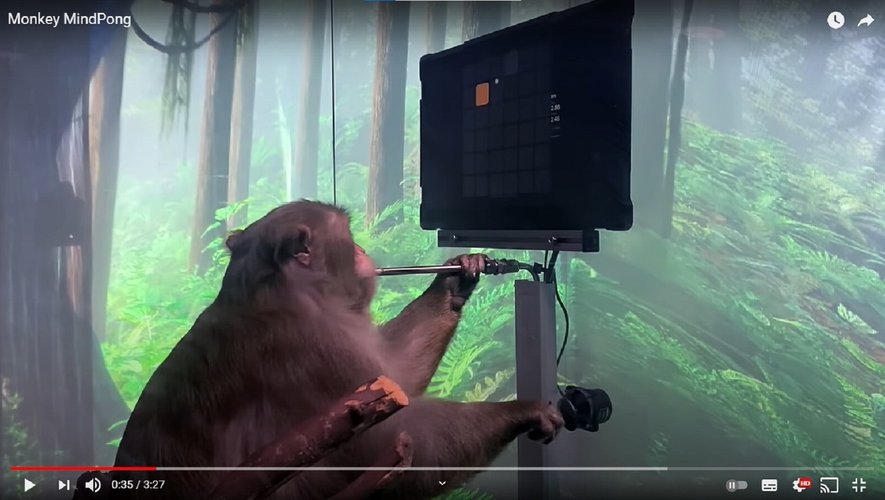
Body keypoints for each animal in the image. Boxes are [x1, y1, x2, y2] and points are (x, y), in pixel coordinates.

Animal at [109, 200, 563, 499]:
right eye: (348, 238)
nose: (364, 250)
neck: (280, 289)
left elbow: (396, 372)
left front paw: (457, 278)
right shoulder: (314, 345)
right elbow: (398, 437)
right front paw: (522, 411)